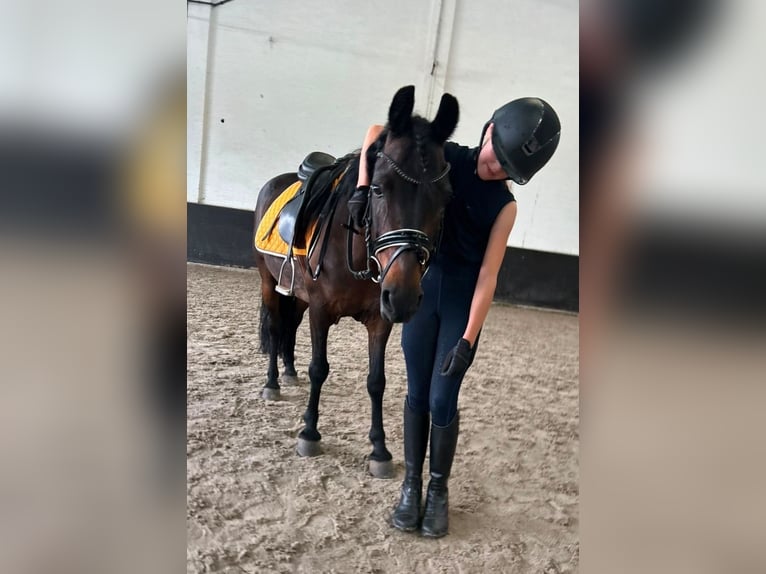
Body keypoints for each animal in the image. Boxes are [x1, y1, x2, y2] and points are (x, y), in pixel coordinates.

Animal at [253, 85, 458, 478]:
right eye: (377, 188)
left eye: (445, 196)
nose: (404, 296)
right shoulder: (320, 309)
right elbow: (319, 369)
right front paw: (309, 432)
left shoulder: (380, 319)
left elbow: (376, 382)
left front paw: (379, 449)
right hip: (268, 281)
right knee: (274, 325)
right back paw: (272, 382)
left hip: (297, 295)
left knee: (289, 326)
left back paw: (288, 371)